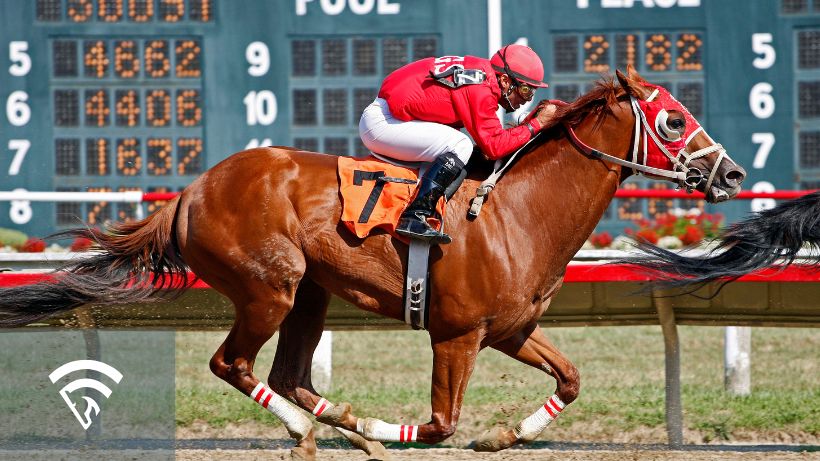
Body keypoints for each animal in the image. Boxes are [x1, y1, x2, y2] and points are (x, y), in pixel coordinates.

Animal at [0, 67, 746, 460]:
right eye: (674, 120)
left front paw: (508, 432)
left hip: (310, 294)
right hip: (271, 287)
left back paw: (344, 427)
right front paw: (404, 431)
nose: (733, 173)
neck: (517, 215)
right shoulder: (457, 335)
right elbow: (442, 424)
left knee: (288, 373)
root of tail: (191, 189)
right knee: (232, 363)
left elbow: (571, 378)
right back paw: (313, 431)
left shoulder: (510, 330)